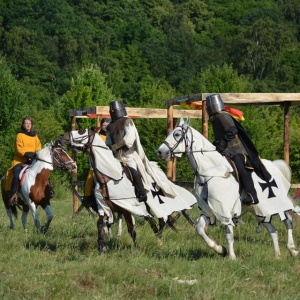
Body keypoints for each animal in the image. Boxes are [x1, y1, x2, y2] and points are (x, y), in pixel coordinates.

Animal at [156, 118, 298, 258]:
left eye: (177, 134)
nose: (160, 152)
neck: (210, 172)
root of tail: (274, 166)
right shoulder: (208, 211)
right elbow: (200, 229)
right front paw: (220, 250)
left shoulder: (225, 210)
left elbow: (229, 235)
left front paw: (232, 257)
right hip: (258, 210)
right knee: (273, 231)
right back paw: (277, 255)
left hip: (276, 203)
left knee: (288, 221)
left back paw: (292, 249)